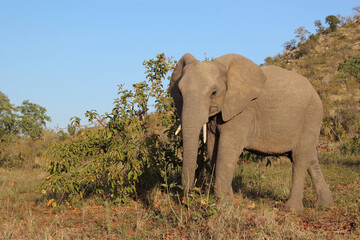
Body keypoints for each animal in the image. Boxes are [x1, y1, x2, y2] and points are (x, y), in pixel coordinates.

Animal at [170, 53, 334, 210]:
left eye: (214, 93)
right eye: (180, 92)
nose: (188, 200)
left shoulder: (243, 111)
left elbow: (227, 150)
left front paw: (224, 208)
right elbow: (212, 150)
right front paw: (228, 201)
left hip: (312, 115)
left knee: (300, 157)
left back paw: (291, 209)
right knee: (310, 158)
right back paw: (324, 206)